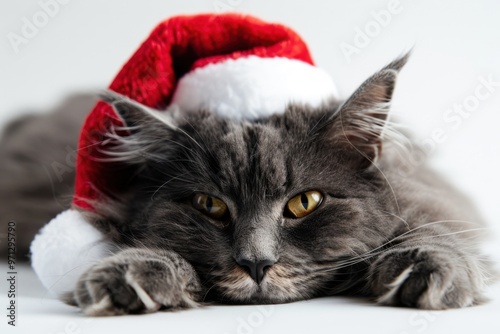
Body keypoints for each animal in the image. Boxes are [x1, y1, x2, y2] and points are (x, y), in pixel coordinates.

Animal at [1, 53, 494, 314]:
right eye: (209, 205)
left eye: (305, 203)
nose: (256, 264)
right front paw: (131, 273)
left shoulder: (429, 196)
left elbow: (434, 230)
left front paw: (425, 267)